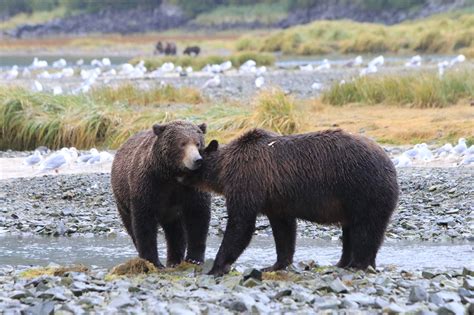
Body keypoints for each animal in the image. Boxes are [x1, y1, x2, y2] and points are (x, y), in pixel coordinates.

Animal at [111, 119, 211, 268]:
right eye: (182, 143)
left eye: (198, 143)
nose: (197, 160)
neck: (173, 175)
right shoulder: (149, 185)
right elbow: (144, 222)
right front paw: (153, 261)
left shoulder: (192, 189)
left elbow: (198, 215)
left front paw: (194, 258)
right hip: (122, 199)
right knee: (131, 226)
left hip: (171, 212)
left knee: (175, 231)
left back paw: (174, 261)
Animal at [183, 128, 398, 276]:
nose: (181, 178)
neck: (223, 171)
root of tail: (389, 163)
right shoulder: (276, 199)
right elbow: (284, 230)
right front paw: (275, 264)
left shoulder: (249, 181)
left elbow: (240, 225)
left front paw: (216, 267)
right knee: (351, 230)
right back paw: (343, 262)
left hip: (362, 187)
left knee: (365, 228)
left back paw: (358, 264)